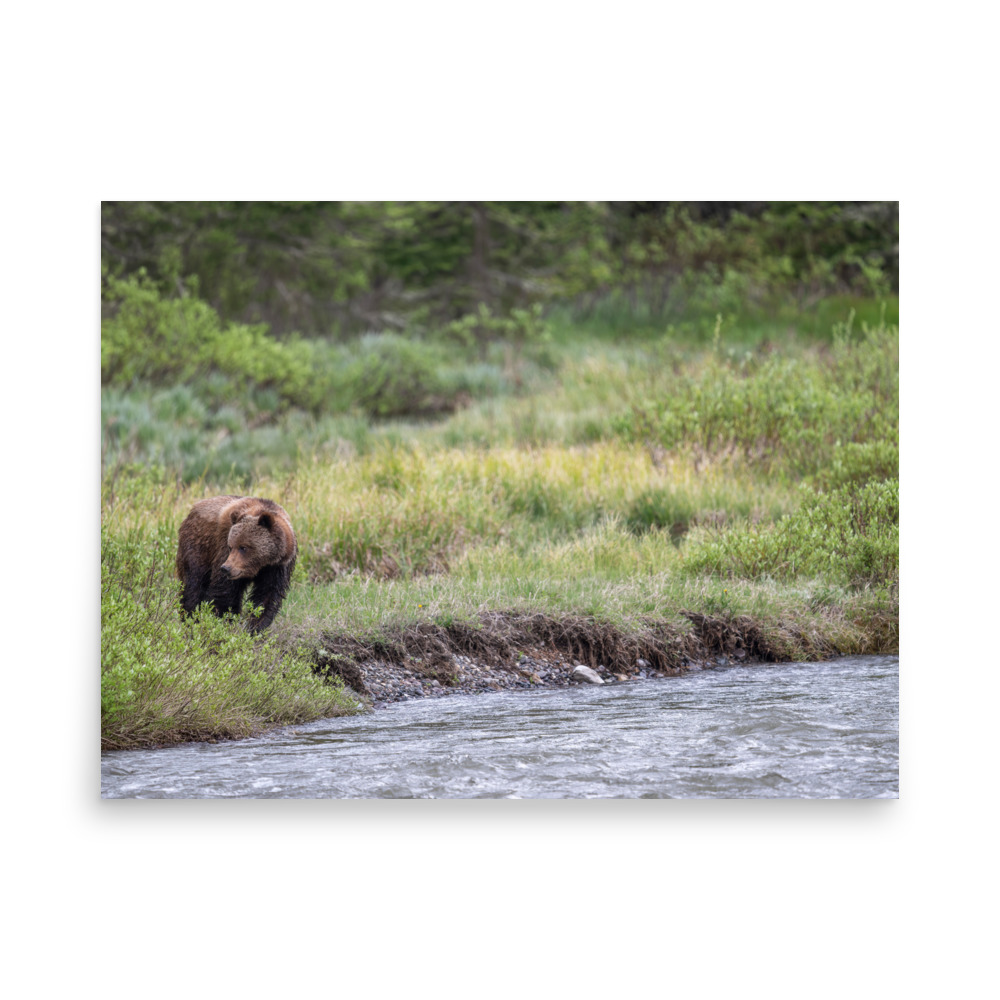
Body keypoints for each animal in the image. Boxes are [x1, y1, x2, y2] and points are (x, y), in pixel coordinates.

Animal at [176, 495, 298, 633]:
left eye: (243, 547)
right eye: (231, 546)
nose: (226, 568)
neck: (261, 565)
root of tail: (192, 510)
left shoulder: (277, 567)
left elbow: (267, 596)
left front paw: (255, 627)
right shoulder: (223, 547)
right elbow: (225, 592)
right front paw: (223, 622)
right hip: (198, 547)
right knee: (194, 585)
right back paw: (190, 619)